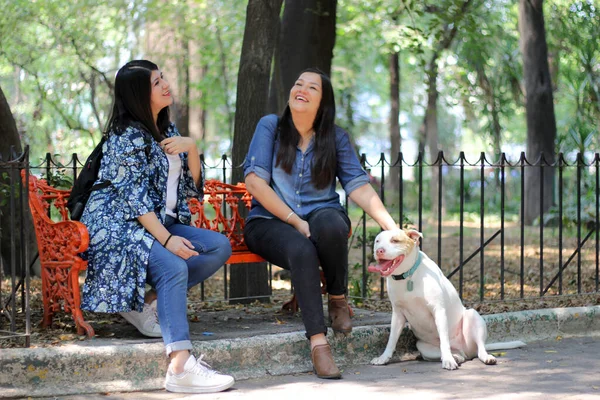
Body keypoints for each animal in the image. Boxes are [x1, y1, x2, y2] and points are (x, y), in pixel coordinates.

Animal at [368, 228, 524, 368]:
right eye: (377, 241)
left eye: (395, 240)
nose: (379, 250)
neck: (408, 275)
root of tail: (465, 350)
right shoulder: (398, 314)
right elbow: (391, 340)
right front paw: (383, 358)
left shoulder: (438, 310)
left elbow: (444, 339)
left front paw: (448, 360)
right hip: (422, 346)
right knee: (458, 355)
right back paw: (456, 357)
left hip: (473, 317)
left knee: (479, 348)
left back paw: (483, 357)